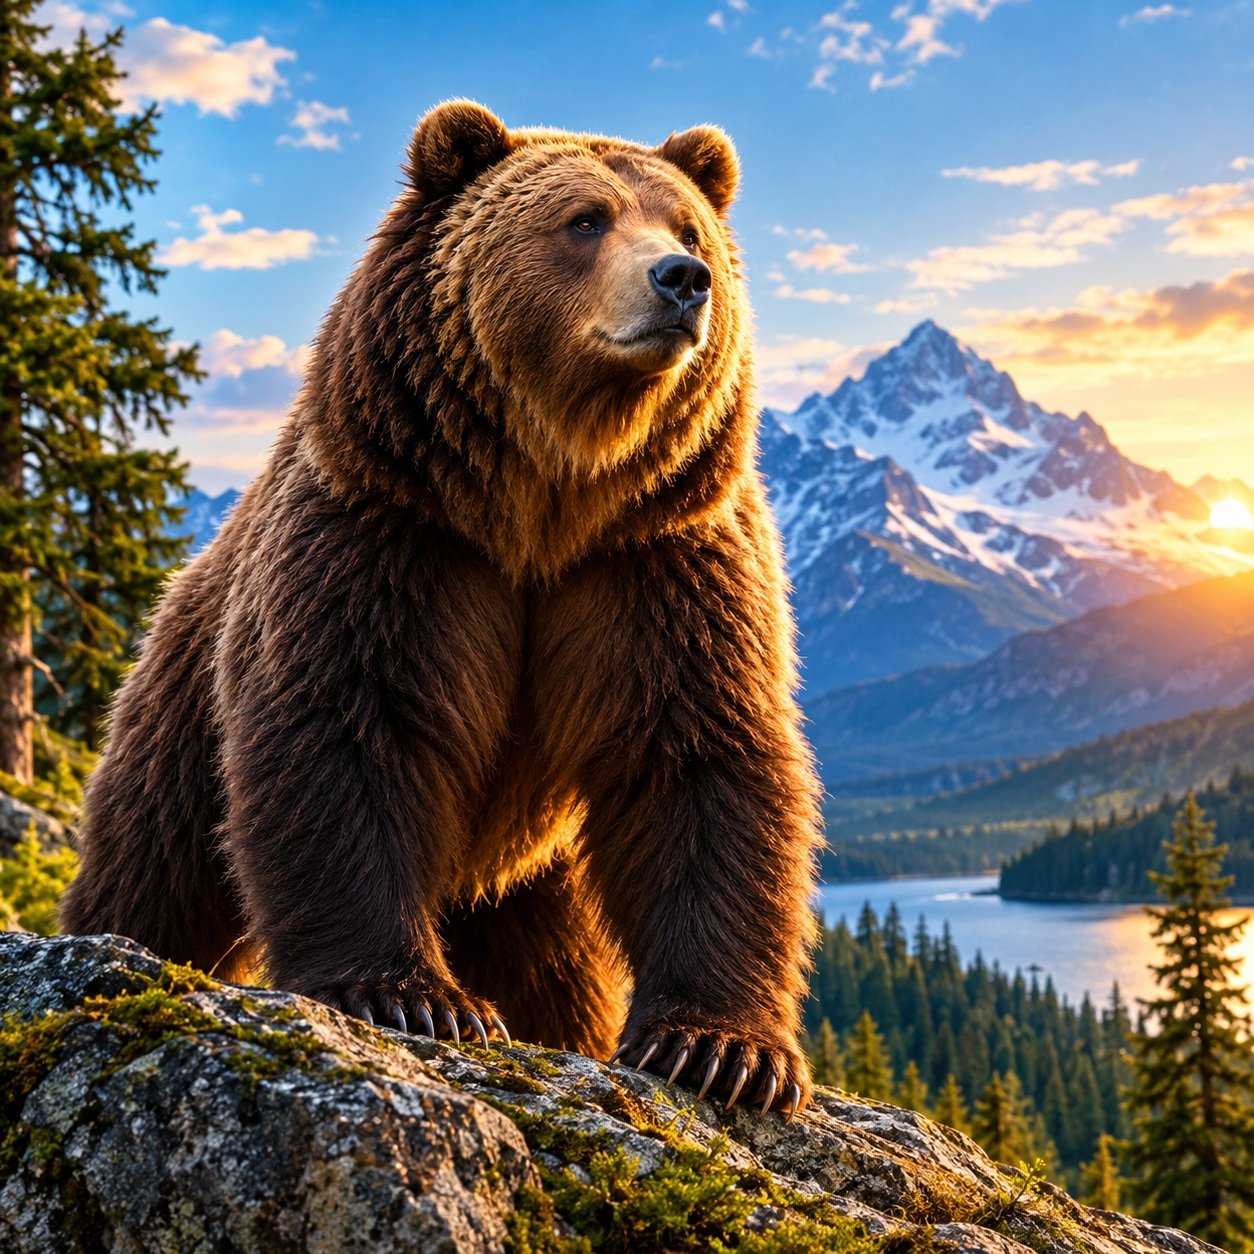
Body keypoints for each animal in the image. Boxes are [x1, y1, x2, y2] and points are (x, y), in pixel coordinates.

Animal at [60, 101, 822, 1117]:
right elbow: (351, 728)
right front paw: (413, 998)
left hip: (536, 871)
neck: (547, 497)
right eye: (585, 220)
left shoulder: (656, 561)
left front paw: (721, 1050)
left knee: (561, 968)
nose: (681, 280)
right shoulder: (394, 538)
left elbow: (697, 756)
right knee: (154, 870)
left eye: (689, 228)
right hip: (182, 709)